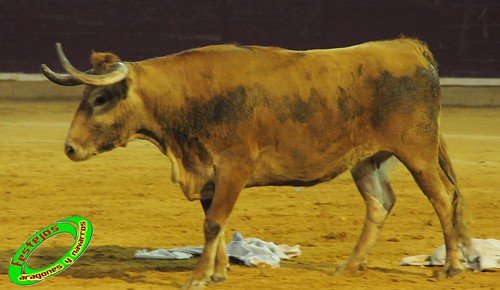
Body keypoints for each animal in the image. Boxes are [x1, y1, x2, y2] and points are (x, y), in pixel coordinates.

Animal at [42, 38, 468, 288]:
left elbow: (214, 222)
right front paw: (219, 271)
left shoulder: (234, 167)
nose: (70, 148)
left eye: (100, 99)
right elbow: (216, 220)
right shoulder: (210, 174)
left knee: (442, 198)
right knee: (380, 203)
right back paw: (349, 266)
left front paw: (199, 277)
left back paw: (451, 266)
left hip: (417, 151)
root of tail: (408, 47)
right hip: (366, 159)